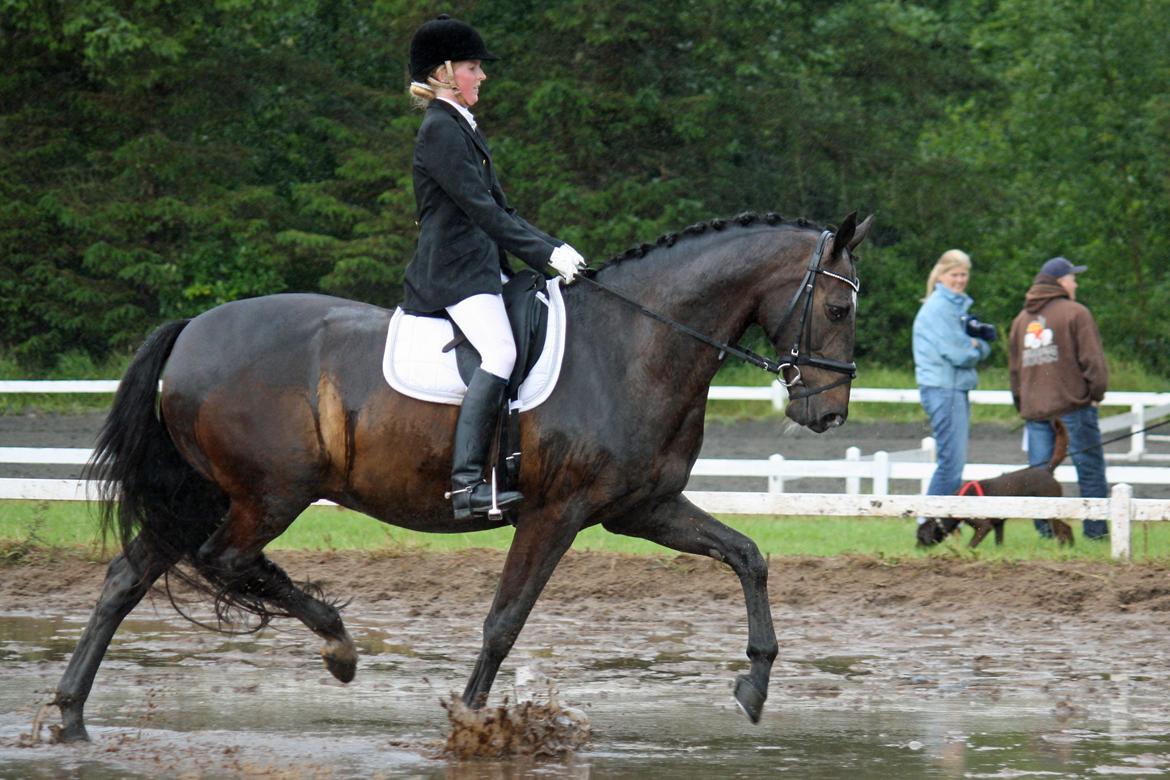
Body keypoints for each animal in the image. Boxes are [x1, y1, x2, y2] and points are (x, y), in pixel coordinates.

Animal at [50, 210, 875, 743]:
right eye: (838, 308)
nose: (829, 414)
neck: (635, 343)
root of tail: (191, 328)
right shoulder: (556, 512)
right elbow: (504, 621)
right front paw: (474, 723)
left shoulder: (643, 508)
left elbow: (748, 555)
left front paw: (755, 684)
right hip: (269, 493)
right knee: (225, 560)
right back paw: (338, 646)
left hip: (201, 493)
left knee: (128, 578)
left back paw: (71, 716)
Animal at [917, 420, 1071, 549]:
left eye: (920, 537)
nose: (916, 549)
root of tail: (1047, 470)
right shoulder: (998, 524)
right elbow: (999, 542)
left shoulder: (984, 526)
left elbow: (971, 545)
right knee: (1067, 528)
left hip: (1048, 512)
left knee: (1063, 530)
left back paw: (1062, 548)